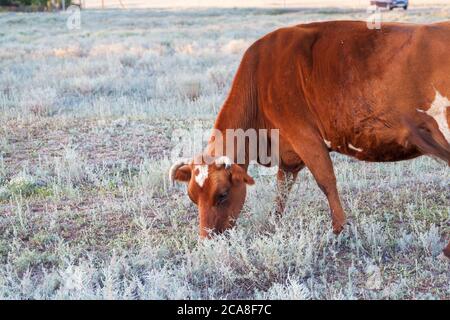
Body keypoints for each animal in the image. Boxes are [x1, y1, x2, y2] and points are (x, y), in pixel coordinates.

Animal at [169, 20, 450, 258]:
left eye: (223, 194)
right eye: (193, 197)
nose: (206, 243)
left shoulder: (304, 136)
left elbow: (326, 181)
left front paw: (339, 231)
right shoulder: (289, 154)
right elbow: (282, 190)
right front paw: (272, 226)